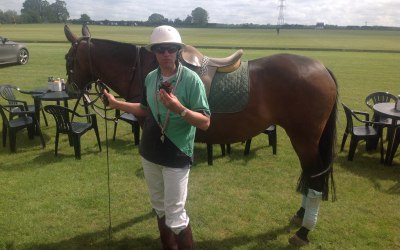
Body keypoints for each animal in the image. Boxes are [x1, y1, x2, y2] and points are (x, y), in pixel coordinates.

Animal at [65, 24, 338, 244]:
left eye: (69, 58)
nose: (70, 89)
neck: (150, 68)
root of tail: (322, 67)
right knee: (310, 175)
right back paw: (300, 216)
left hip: (304, 138)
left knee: (314, 177)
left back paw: (304, 230)